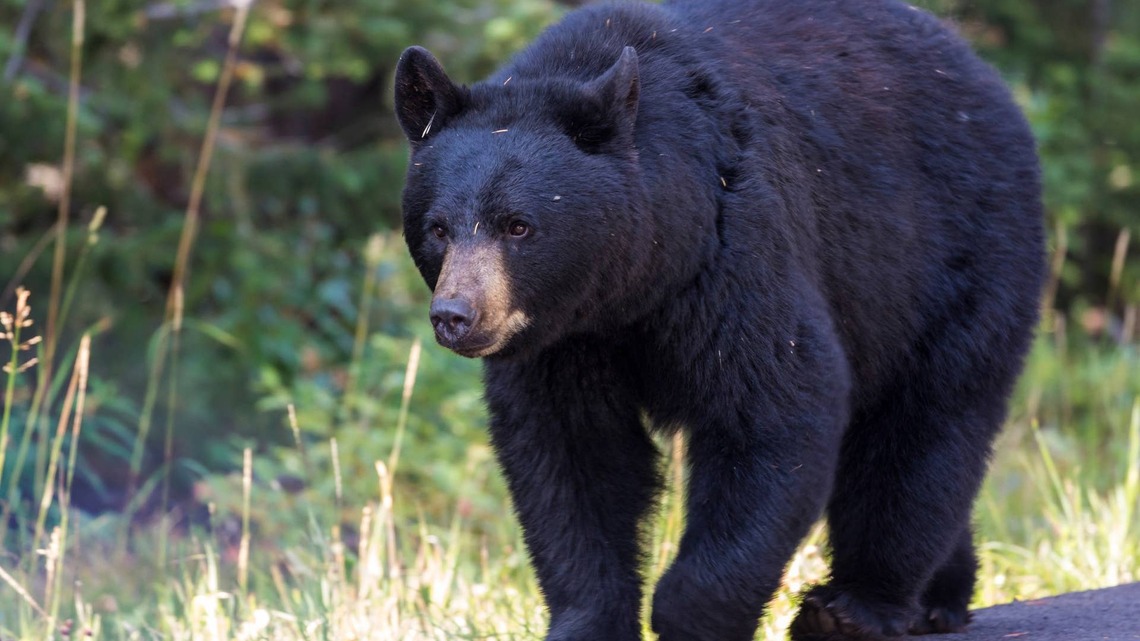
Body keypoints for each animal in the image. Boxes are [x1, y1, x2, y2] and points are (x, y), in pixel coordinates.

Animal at [392, 0, 1045, 639]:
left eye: (519, 226)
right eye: (439, 228)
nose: (455, 315)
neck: (632, 289)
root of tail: (984, 71)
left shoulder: (735, 254)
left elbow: (775, 411)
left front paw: (690, 616)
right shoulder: (564, 343)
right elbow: (572, 457)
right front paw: (591, 619)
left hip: (954, 260)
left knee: (924, 426)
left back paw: (856, 608)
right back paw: (941, 595)